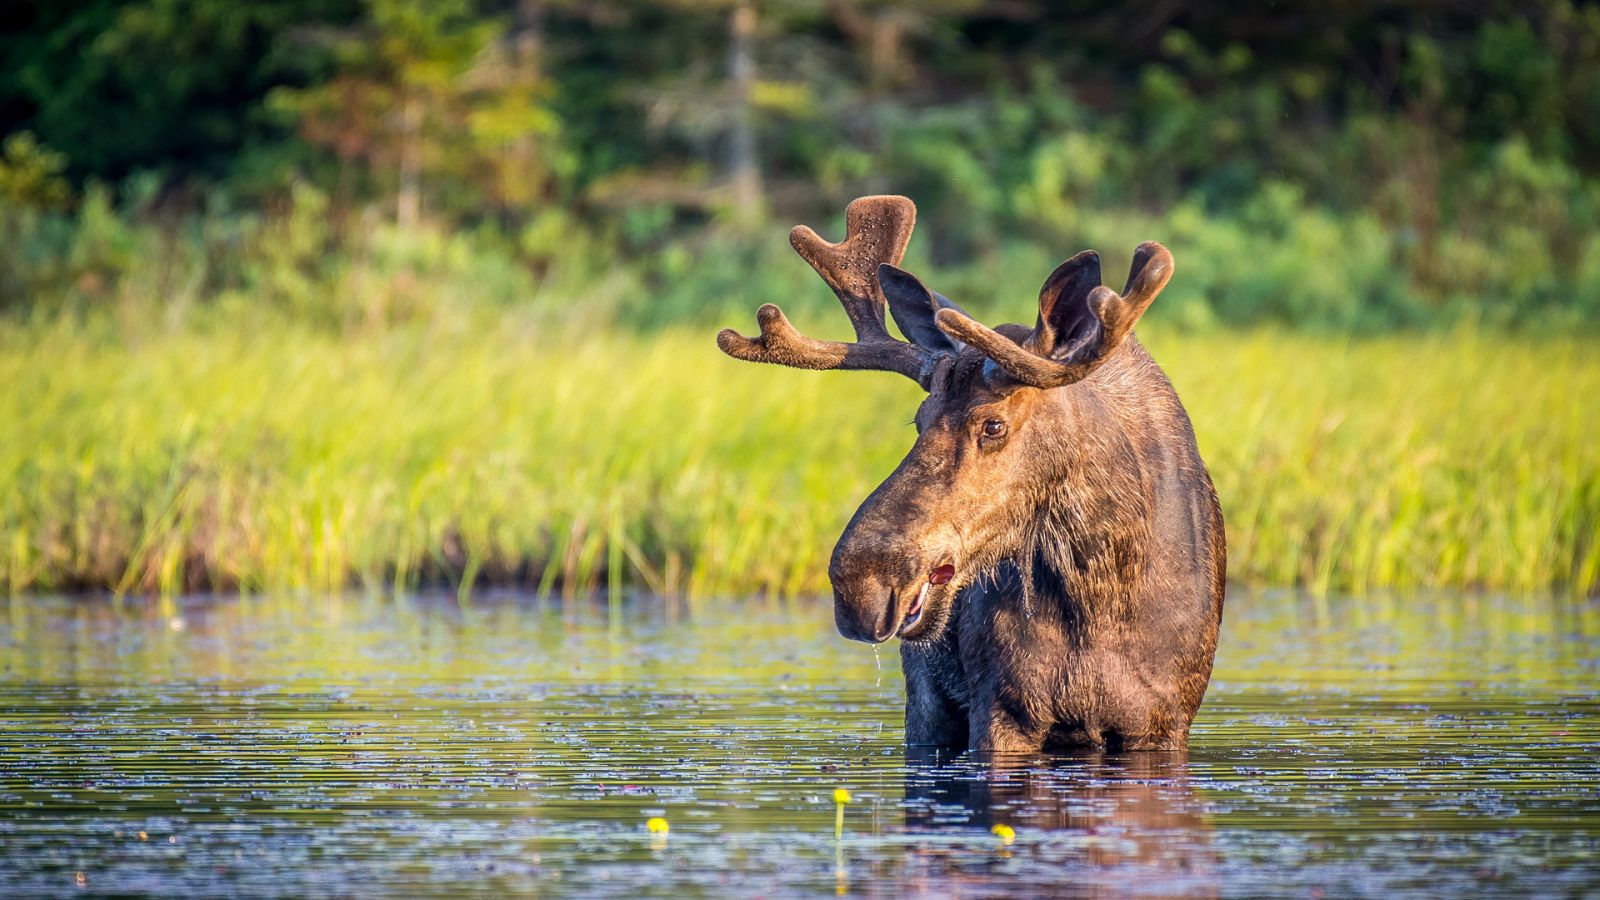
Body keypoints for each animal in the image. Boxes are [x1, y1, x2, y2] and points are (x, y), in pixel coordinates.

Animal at [716, 196, 1222, 749]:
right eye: (918, 420)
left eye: (993, 424)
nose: (860, 583)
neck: (1105, 593)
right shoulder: (1001, 709)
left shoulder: (1164, 721)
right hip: (926, 703)